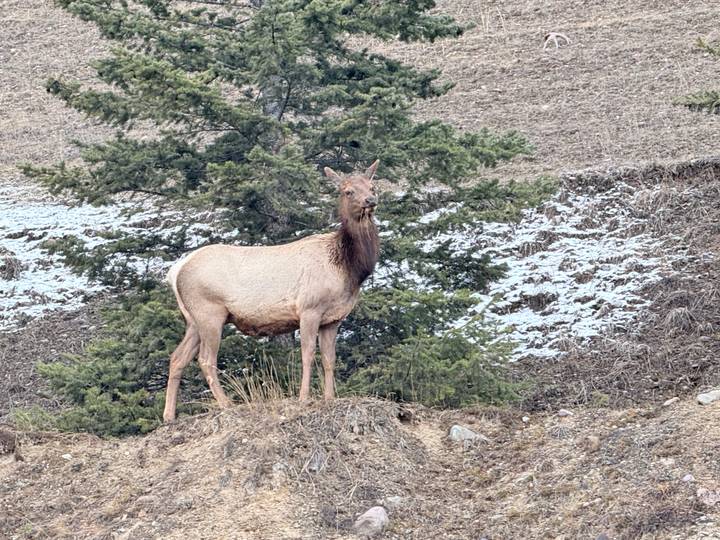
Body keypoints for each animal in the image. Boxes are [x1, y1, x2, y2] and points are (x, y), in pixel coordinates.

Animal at [162, 160, 380, 422]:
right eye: (348, 191)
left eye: (372, 186)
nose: (370, 200)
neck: (347, 269)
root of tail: (175, 271)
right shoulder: (309, 308)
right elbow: (307, 354)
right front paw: (303, 398)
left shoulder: (333, 318)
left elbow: (330, 359)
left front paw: (329, 398)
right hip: (209, 312)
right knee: (206, 359)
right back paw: (227, 404)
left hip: (194, 320)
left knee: (177, 357)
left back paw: (168, 416)